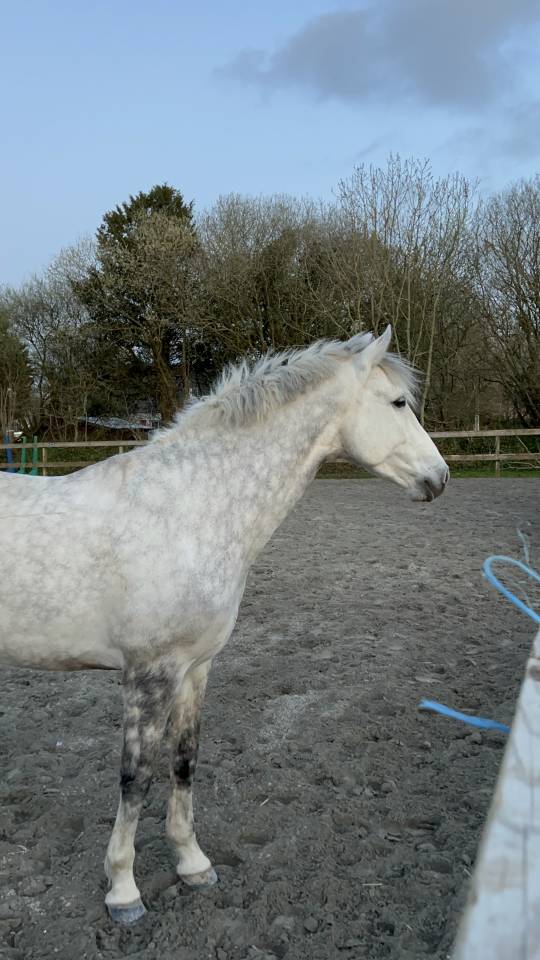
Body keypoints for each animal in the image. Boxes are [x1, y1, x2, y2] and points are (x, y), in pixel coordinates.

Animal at [0, 327, 449, 923]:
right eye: (398, 403)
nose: (439, 477)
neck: (191, 509)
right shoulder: (149, 674)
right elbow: (135, 778)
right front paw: (123, 889)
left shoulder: (196, 668)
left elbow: (183, 762)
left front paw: (192, 865)